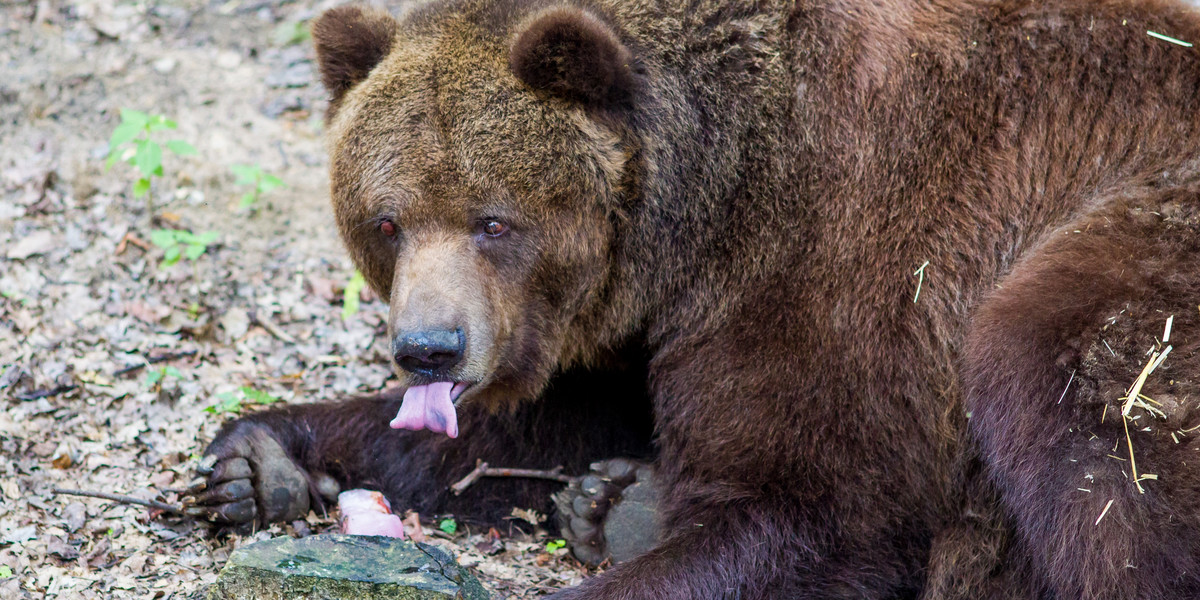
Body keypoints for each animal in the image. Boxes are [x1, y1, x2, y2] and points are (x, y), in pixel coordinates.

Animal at [187, 0, 1200, 597]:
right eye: (389, 219)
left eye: (494, 219)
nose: (429, 349)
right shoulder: (637, 318)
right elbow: (544, 418)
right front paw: (259, 457)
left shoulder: (846, 252)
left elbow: (822, 508)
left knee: (1074, 397)